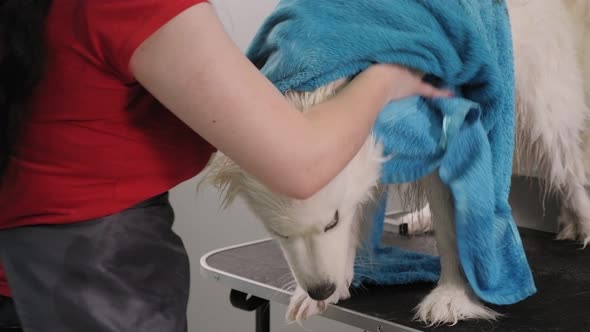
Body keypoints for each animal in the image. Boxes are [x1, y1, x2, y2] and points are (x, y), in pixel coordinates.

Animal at [202, 0, 588, 326]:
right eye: (278, 233)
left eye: (331, 221)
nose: (321, 289)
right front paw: (327, 289)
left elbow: (453, 227)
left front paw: (452, 295)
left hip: (539, 101)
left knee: (568, 164)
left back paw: (581, 220)